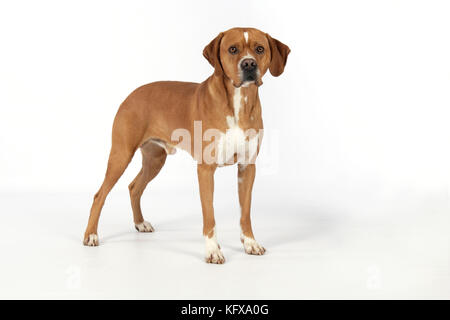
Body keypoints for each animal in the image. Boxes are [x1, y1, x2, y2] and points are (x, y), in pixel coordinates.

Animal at [82, 27, 290, 264]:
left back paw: (140, 223)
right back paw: (91, 235)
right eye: (232, 49)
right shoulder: (206, 170)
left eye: (260, 49)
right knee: (100, 195)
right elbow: (209, 215)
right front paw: (213, 250)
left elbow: (245, 213)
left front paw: (250, 243)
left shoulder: (247, 168)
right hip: (121, 154)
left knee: (134, 187)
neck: (239, 102)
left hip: (155, 160)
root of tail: (131, 94)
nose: (248, 64)